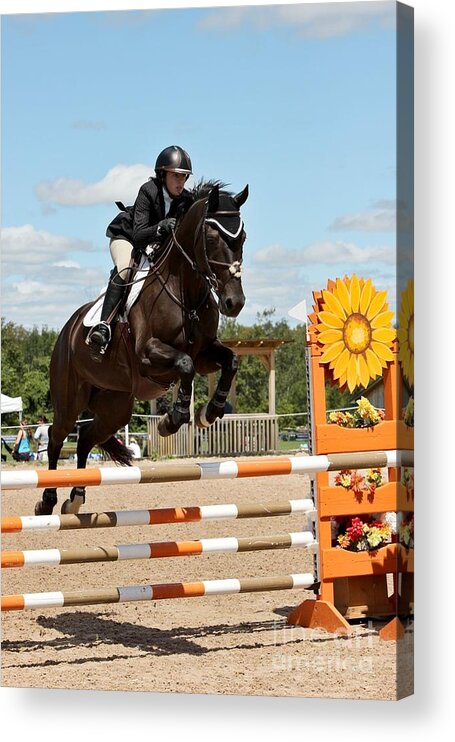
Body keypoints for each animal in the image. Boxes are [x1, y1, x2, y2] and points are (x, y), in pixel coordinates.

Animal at [35, 185, 249, 516]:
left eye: (243, 237)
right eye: (212, 238)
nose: (234, 303)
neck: (184, 289)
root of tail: (65, 332)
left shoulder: (205, 354)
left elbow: (231, 360)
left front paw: (209, 413)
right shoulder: (148, 354)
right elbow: (184, 364)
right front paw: (171, 420)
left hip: (116, 406)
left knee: (85, 438)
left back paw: (77, 496)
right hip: (70, 400)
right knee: (58, 438)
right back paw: (47, 500)